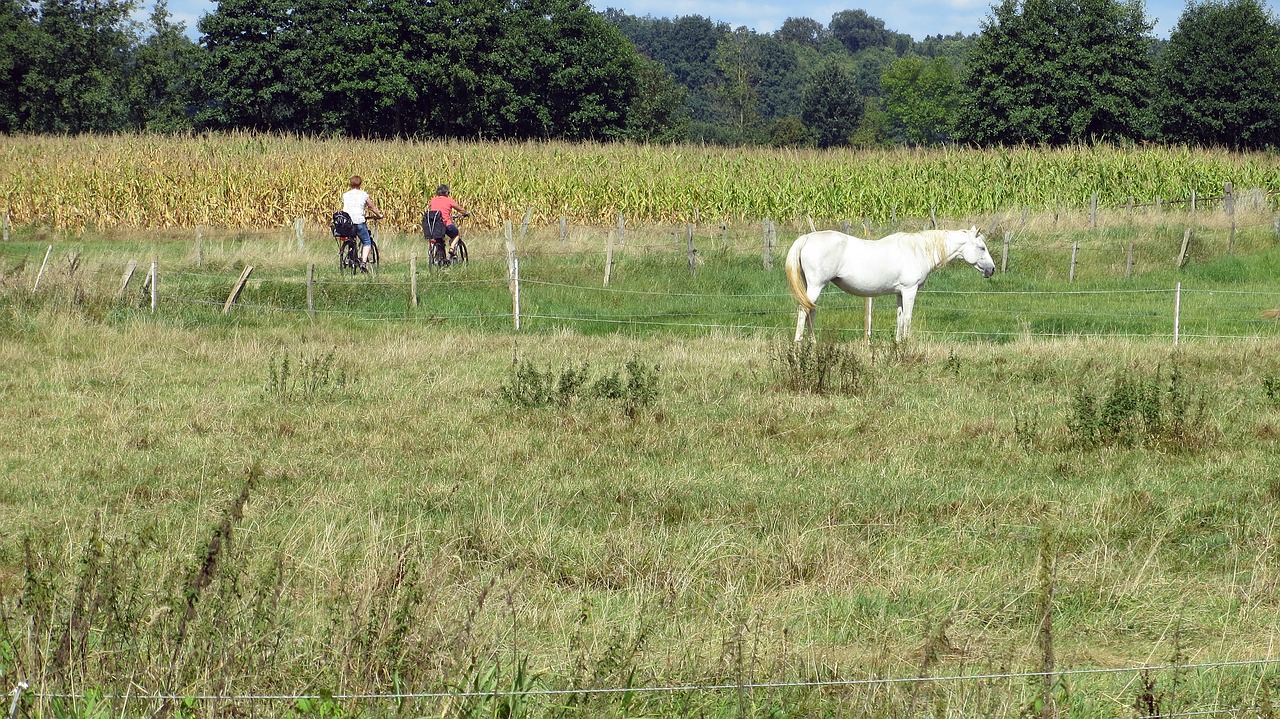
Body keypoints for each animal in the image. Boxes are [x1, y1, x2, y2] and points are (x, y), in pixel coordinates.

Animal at [778, 227, 998, 342]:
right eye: (981, 247)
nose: (992, 269)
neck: (917, 250)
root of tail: (807, 237)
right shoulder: (910, 291)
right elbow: (907, 318)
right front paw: (906, 345)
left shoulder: (899, 293)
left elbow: (899, 318)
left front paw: (898, 343)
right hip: (816, 285)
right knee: (804, 310)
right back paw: (799, 343)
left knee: (810, 311)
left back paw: (813, 343)